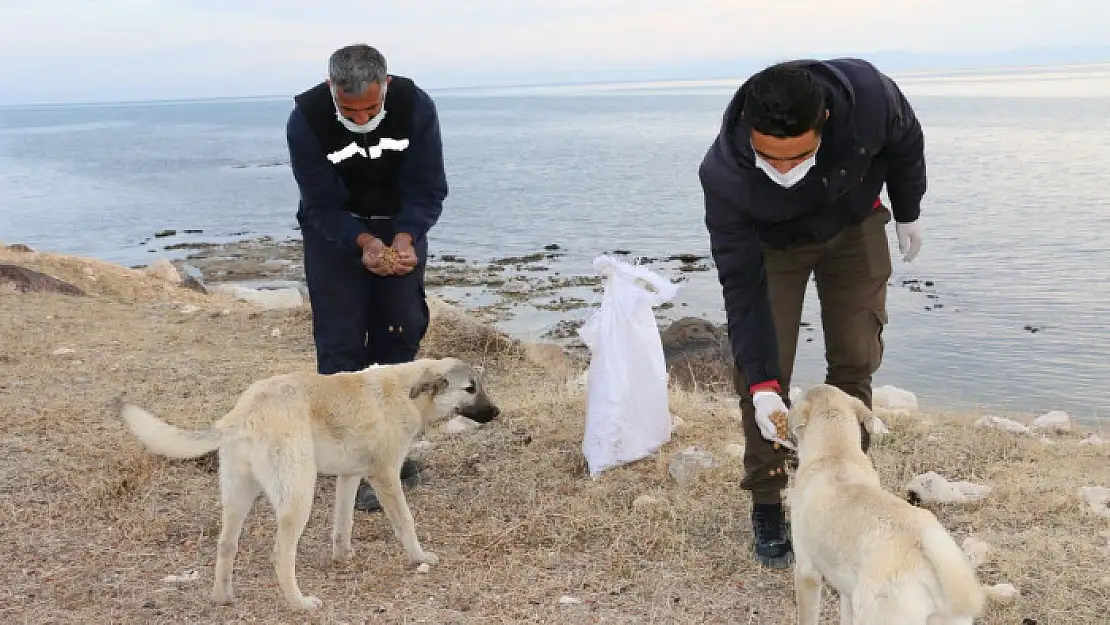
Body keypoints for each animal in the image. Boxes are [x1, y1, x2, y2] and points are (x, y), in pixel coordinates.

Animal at [110, 357, 501, 612]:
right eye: (470, 388)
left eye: (480, 386)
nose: (497, 413)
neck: (409, 391)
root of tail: (245, 413)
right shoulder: (385, 475)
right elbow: (405, 522)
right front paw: (419, 557)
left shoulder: (350, 476)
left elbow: (343, 523)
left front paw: (343, 556)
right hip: (298, 498)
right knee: (281, 555)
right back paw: (299, 603)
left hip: (238, 496)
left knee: (225, 545)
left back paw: (223, 597)